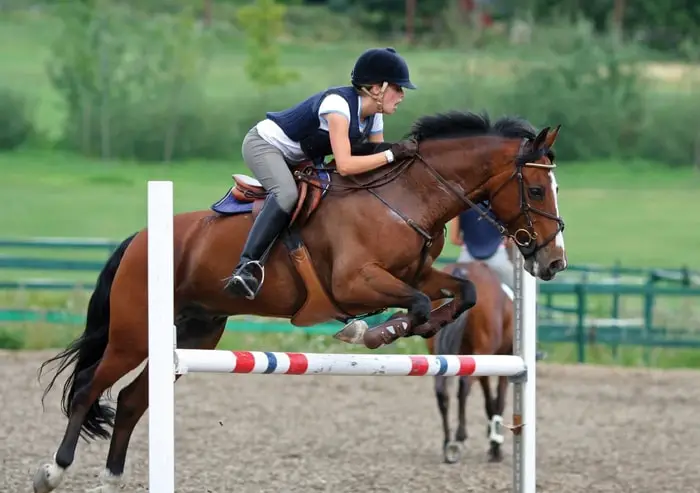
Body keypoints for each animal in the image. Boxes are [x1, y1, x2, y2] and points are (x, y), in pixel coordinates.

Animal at [426, 260, 515, 465]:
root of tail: (463, 271)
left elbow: (489, 402)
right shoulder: (504, 359)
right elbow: (499, 401)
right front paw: (495, 447)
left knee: (441, 390)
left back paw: (447, 442)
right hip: (481, 353)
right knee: (464, 386)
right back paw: (458, 439)